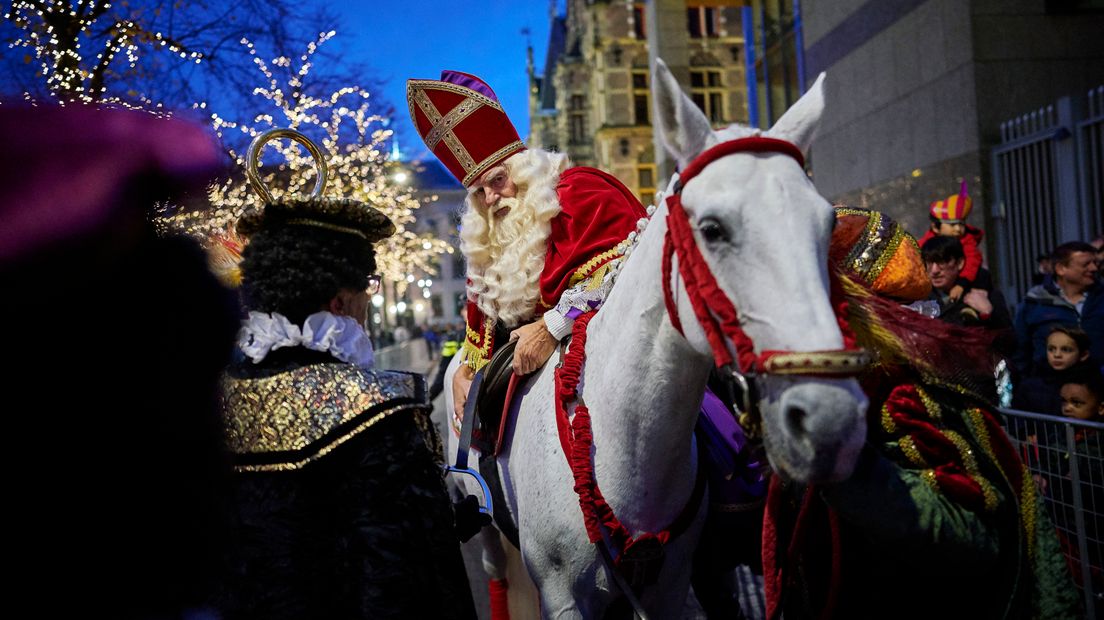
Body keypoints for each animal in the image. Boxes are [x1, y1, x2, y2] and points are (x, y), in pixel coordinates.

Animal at [441, 59, 869, 617]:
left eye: (827, 222)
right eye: (711, 228)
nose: (831, 418)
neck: (624, 440)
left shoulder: (670, 584)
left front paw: (538, 332)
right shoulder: (561, 595)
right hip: (490, 537)